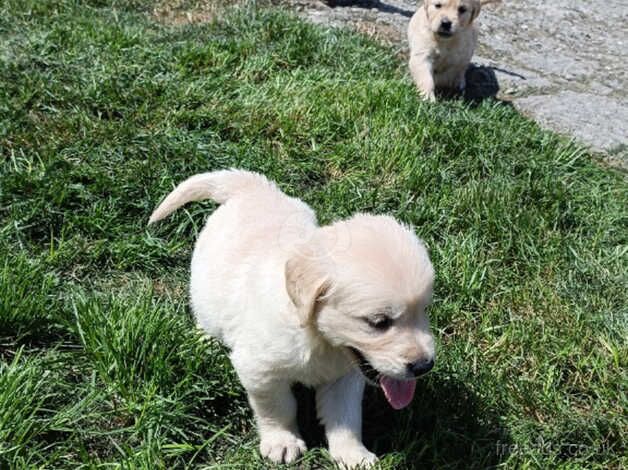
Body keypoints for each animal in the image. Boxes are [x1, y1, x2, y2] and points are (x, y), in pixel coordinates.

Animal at [149, 171, 434, 468]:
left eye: (424, 310)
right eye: (379, 322)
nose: (424, 366)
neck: (319, 338)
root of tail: (252, 188)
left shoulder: (344, 377)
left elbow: (345, 416)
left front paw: (353, 454)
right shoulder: (260, 370)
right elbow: (278, 407)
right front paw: (282, 441)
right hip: (205, 289)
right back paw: (204, 337)